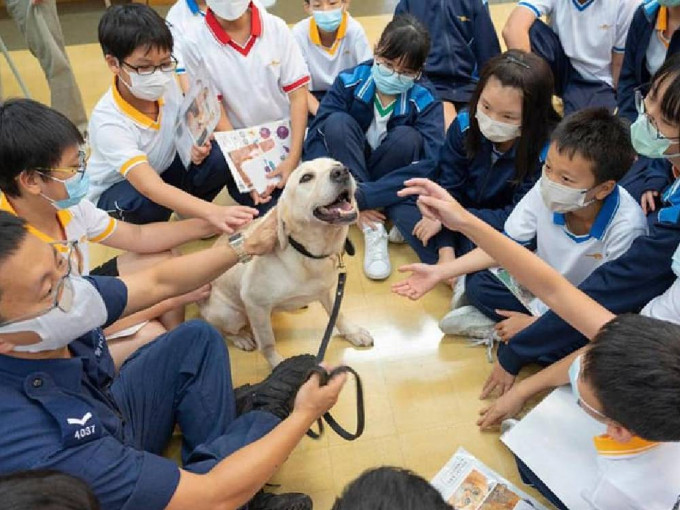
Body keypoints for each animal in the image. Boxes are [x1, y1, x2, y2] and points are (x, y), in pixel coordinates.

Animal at [201, 158, 372, 366]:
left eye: (336, 164)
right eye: (306, 177)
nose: (342, 171)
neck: (307, 254)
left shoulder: (325, 291)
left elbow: (337, 313)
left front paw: (352, 332)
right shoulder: (255, 304)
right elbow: (267, 343)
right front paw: (277, 365)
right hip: (230, 315)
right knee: (225, 331)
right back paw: (241, 338)